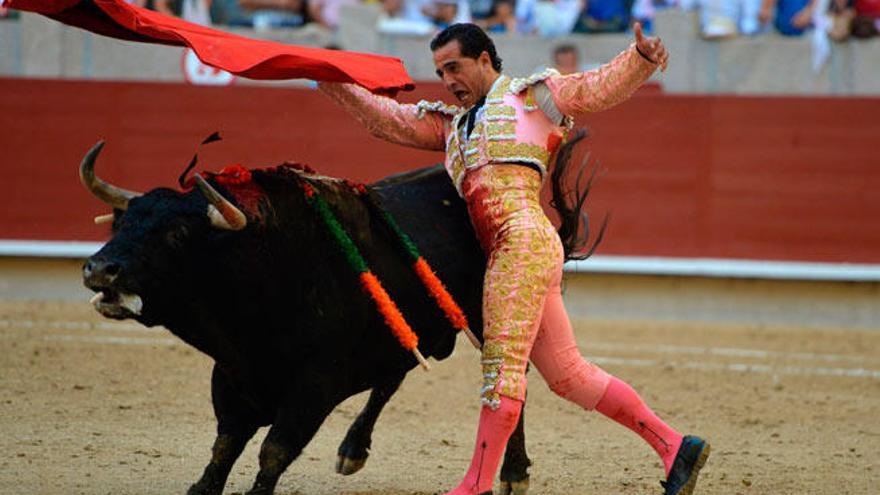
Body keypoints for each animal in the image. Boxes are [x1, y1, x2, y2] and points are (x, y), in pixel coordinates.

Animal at [77, 143, 576, 495]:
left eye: (177, 233)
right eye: (119, 225)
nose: (100, 268)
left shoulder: (313, 388)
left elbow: (273, 450)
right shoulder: (231, 376)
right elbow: (224, 445)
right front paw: (201, 487)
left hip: (498, 315)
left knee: (509, 379)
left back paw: (513, 474)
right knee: (392, 377)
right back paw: (353, 450)